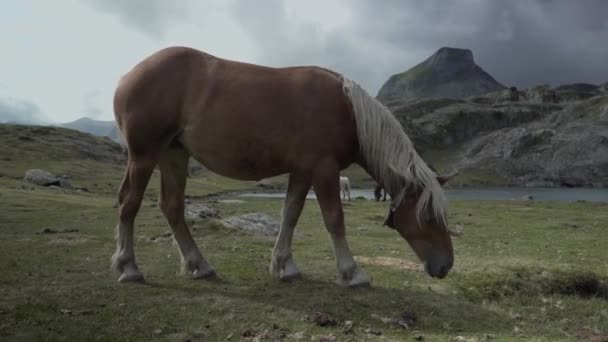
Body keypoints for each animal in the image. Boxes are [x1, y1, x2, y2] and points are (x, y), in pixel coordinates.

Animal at [113, 44, 456, 286]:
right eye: (428, 215)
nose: (446, 265)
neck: (348, 110)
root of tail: (128, 76)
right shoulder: (325, 169)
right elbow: (334, 219)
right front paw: (351, 272)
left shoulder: (303, 171)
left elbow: (290, 214)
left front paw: (285, 266)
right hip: (144, 156)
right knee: (129, 203)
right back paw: (128, 266)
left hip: (174, 154)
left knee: (171, 206)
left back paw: (199, 264)